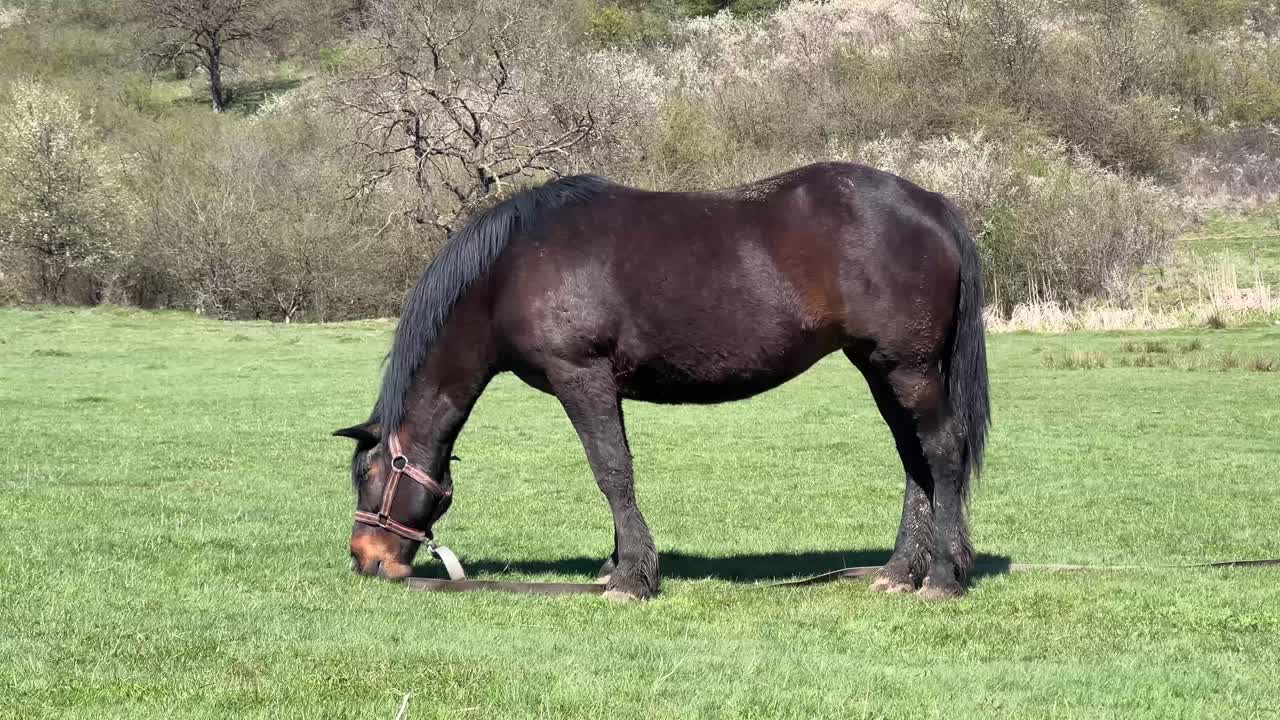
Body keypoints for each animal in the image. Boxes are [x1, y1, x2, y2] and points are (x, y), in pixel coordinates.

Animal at [334, 162, 990, 601]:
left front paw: (630, 578)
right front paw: (616, 564)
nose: (365, 558)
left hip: (908, 368)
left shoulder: (582, 376)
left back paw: (942, 576)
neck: (510, 271)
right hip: (879, 367)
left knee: (941, 452)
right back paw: (899, 573)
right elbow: (615, 469)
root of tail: (931, 205)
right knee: (914, 460)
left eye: (369, 476)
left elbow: (610, 471)